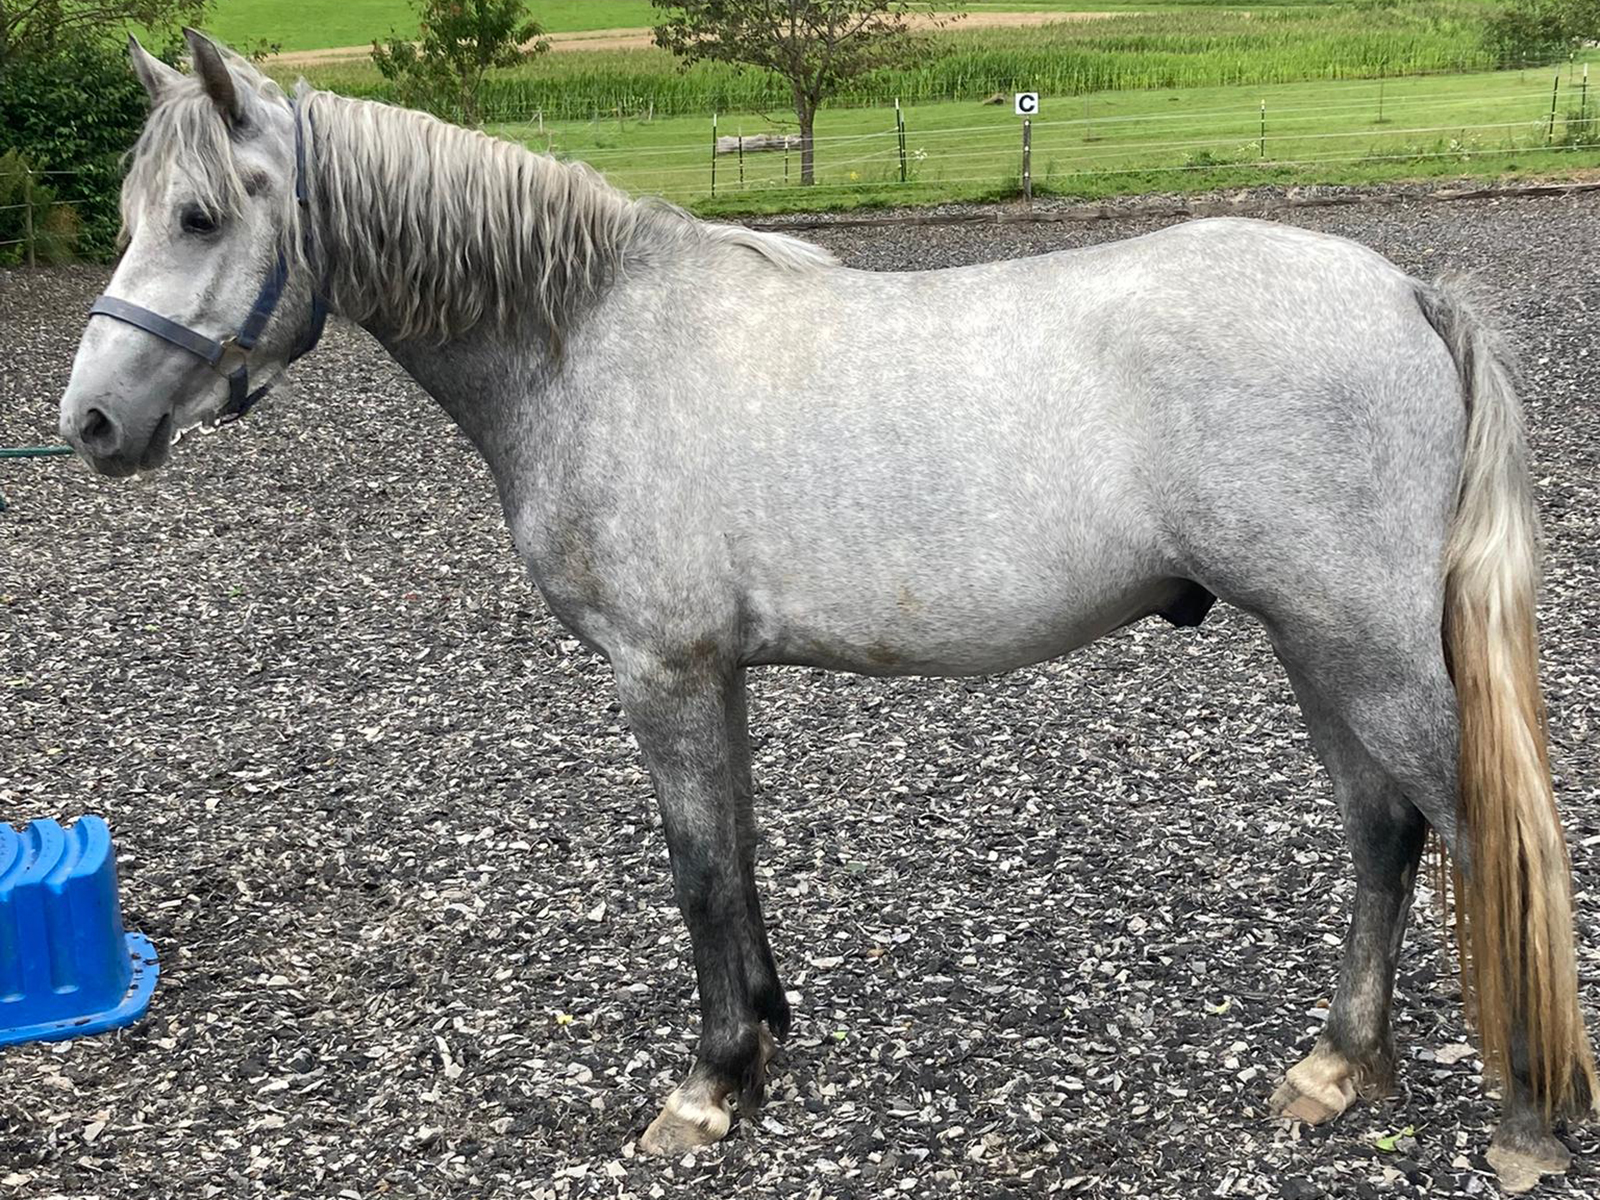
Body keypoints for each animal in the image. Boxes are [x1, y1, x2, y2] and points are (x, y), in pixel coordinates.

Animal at [56, 32, 1594, 1189]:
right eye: (135, 216)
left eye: (200, 218)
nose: (91, 425)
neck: (589, 340)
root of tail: (1405, 290)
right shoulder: (710, 672)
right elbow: (734, 853)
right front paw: (764, 1039)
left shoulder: (660, 671)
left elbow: (695, 870)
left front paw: (709, 1086)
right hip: (1314, 646)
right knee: (1385, 834)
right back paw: (1338, 1068)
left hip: (1358, 645)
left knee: (1476, 834)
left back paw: (1522, 1123)